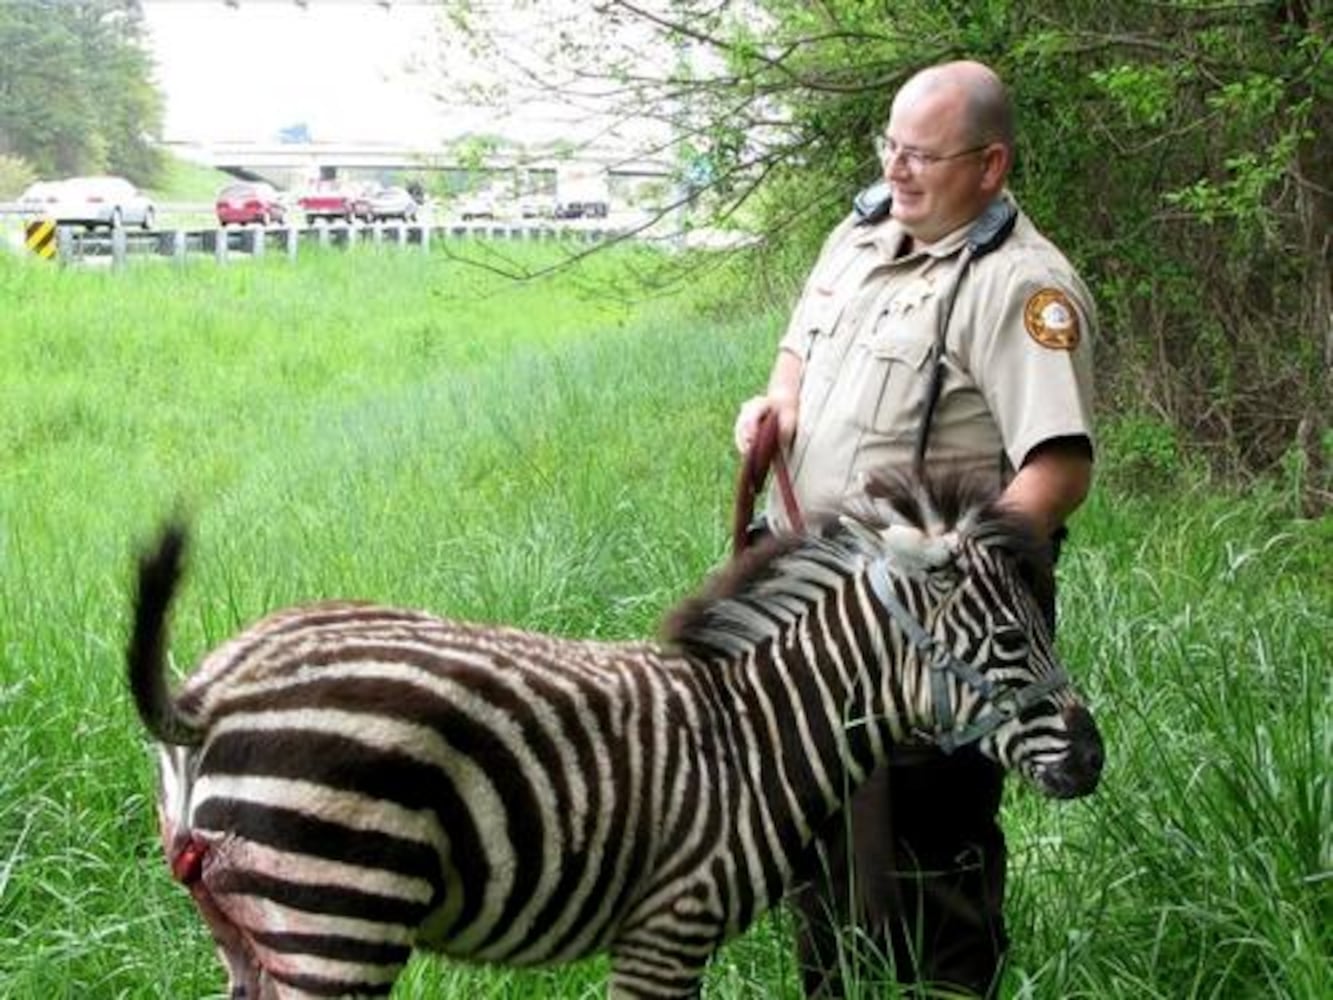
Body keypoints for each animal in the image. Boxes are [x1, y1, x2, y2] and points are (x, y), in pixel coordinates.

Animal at [129, 474, 1103, 997]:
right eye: (1010, 639)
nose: (1093, 760)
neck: (759, 732)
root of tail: (212, 694)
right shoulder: (670, 923)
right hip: (337, 915)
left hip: (251, 931)